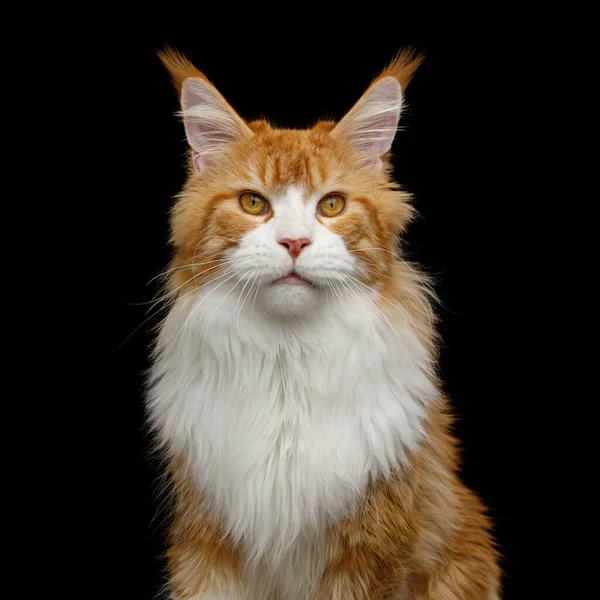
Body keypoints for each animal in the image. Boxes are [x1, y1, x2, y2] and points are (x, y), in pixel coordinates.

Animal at [148, 48, 500, 600]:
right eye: (253, 203)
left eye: (331, 204)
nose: (294, 242)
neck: (287, 361)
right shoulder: (206, 542)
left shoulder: (372, 546)